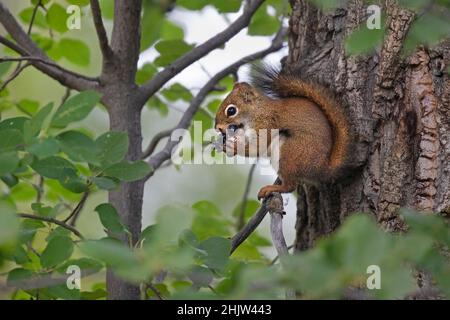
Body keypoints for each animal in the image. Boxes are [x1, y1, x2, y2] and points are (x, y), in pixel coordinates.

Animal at [214, 64, 352, 200]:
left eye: (231, 110)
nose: (217, 128)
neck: (258, 112)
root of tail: (323, 168)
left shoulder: (267, 124)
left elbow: (257, 147)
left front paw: (233, 146)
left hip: (290, 154)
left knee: (290, 185)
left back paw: (272, 188)